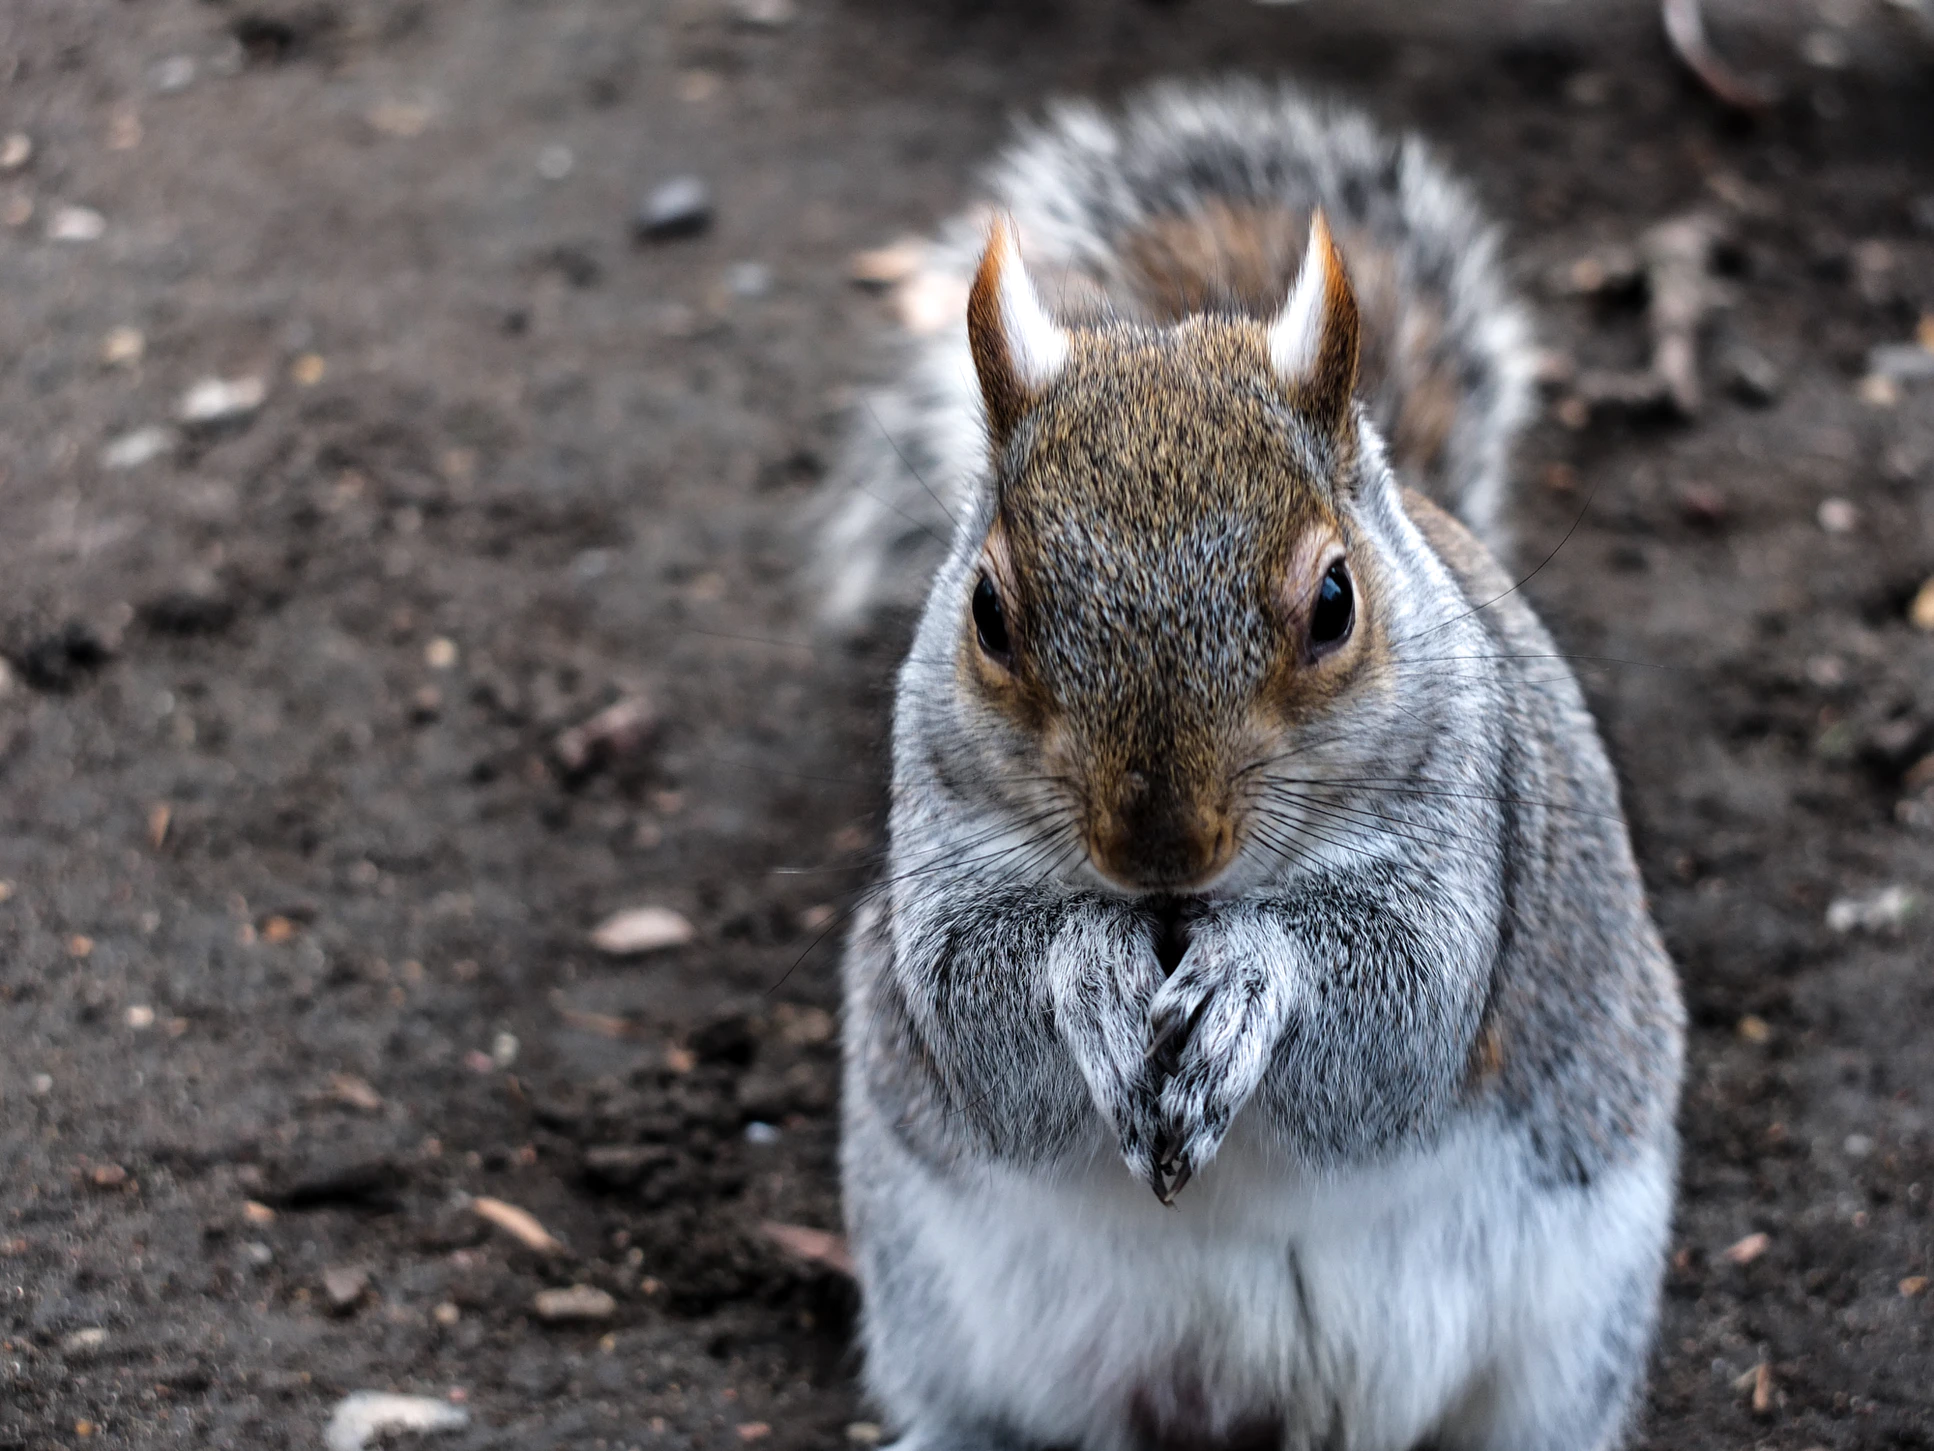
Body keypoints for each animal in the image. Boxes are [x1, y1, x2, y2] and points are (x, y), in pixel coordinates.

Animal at [823, 82, 1686, 1451]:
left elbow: (1397, 1015)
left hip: (1569, 1329)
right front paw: (1089, 975)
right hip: (932, 1302)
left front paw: (1245, 980)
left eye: (1334, 602)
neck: (1179, 912)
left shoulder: (1468, 841)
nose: (1158, 847)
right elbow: (976, 1014)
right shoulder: (943, 842)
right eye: (986, 612)